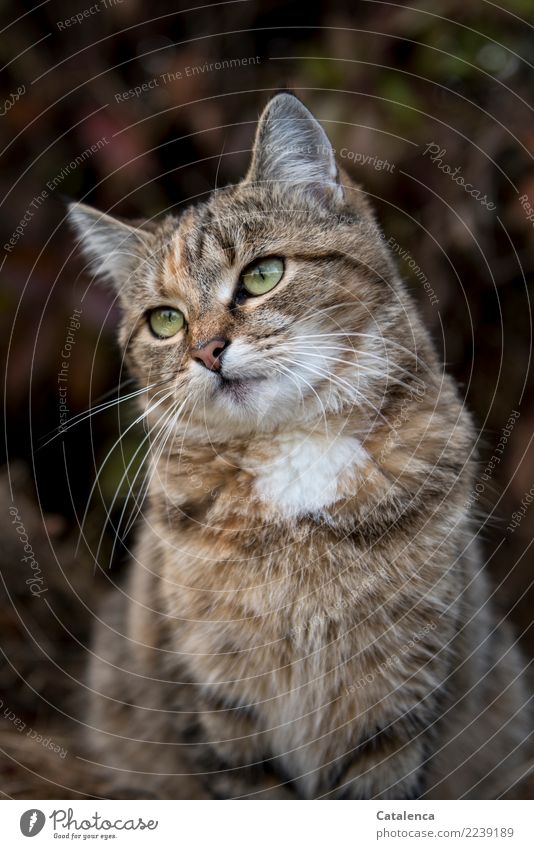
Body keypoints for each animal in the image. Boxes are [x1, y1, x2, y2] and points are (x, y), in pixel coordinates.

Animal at [70, 96, 532, 800]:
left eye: (262, 275)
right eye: (166, 320)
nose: (208, 351)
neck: (293, 457)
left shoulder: (399, 693)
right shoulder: (217, 704)